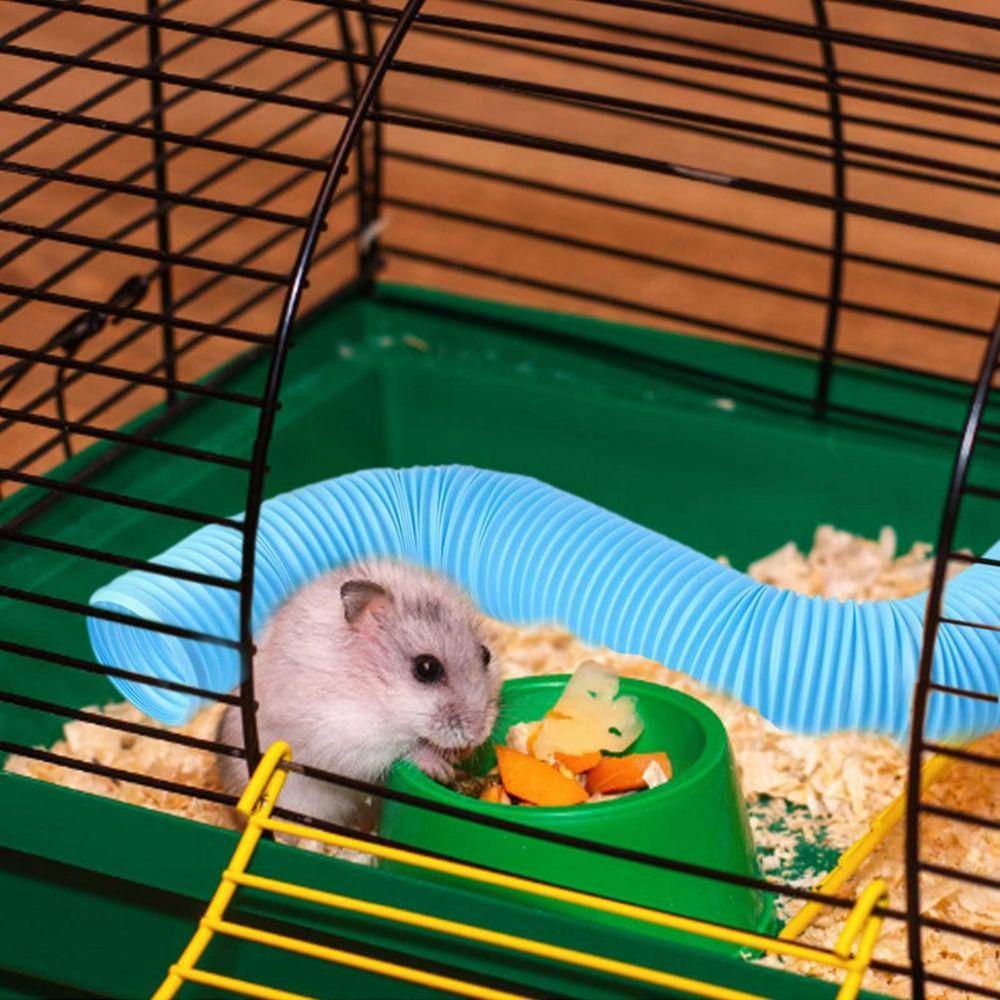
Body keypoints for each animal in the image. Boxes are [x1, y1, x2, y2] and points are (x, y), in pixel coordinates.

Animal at [217, 560, 502, 832]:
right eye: (426, 668)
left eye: (486, 654)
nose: (478, 735)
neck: (374, 690)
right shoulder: (348, 736)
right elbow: (404, 748)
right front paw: (441, 768)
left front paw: (460, 755)